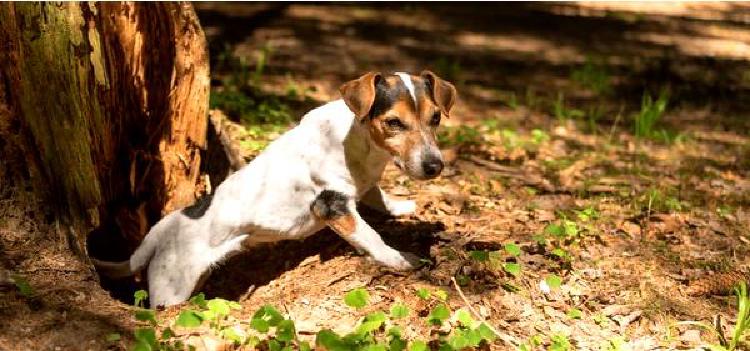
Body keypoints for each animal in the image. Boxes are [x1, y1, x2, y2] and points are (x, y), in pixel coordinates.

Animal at [94, 70, 458, 306]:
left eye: (436, 118)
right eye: (394, 122)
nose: (435, 167)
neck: (360, 143)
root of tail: (161, 230)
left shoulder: (364, 184)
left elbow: (376, 195)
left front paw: (401, 205)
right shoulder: (332, 205)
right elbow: (371, 237)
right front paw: (400, 260)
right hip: (171, 289)